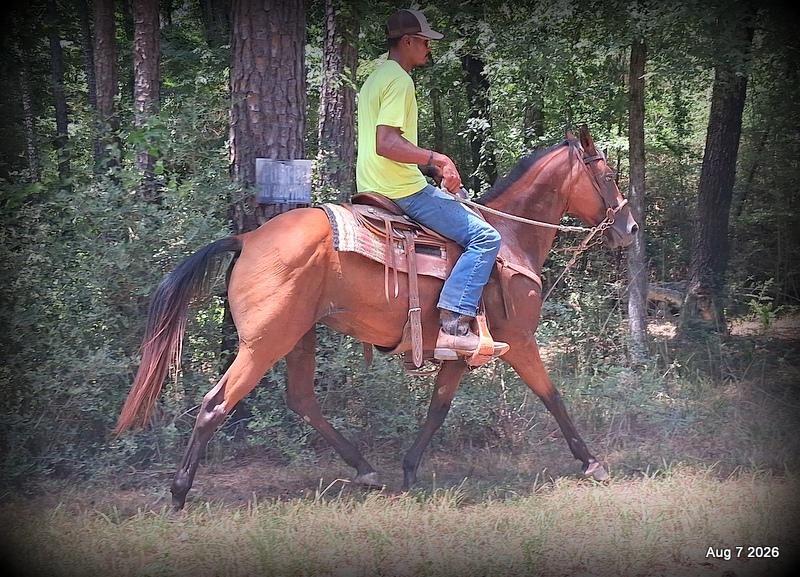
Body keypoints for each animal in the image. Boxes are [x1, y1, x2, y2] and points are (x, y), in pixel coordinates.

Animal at [114, 124, 638, 510]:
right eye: (609, 176)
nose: (631, 227)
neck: (508, 239)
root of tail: (247, 239)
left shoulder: (458, 351)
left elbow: (438, 407)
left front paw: (409, 467)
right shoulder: (521, 339)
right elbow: (553, 397)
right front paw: (591, 462)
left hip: (298, 335)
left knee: (301, 399)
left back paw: (365, 468)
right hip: (264, 344)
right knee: (214, 405)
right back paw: (179, 493)